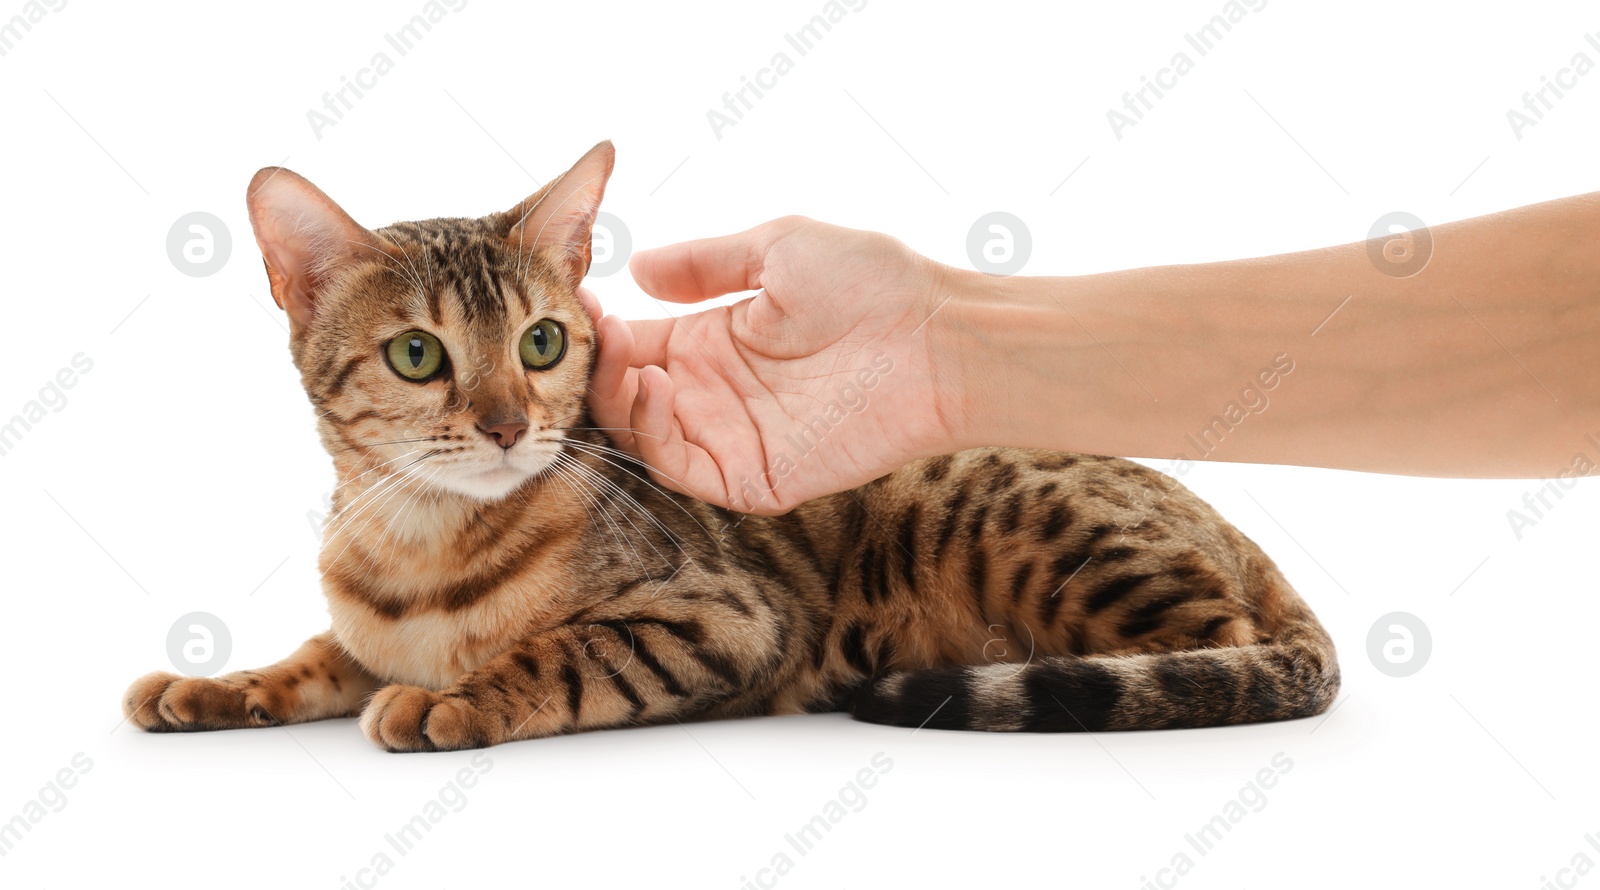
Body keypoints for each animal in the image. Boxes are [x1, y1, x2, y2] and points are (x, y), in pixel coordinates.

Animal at [121, 140, 1337, 752]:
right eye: (419, 354)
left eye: (541, 340)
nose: (511, 423)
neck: (419, 542)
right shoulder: (363, 628)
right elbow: (313, 657)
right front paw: (217, 685)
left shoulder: (724, 616)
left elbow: (558, 653)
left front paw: (453, 696)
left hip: (1011, 514)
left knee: (1220, 656)